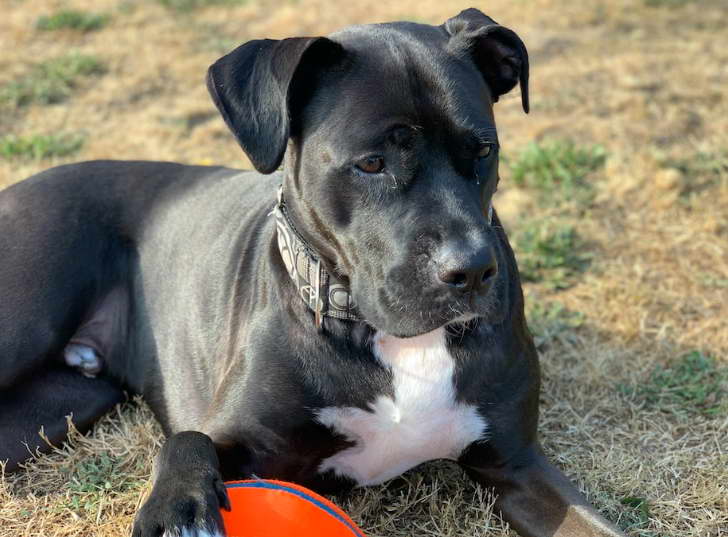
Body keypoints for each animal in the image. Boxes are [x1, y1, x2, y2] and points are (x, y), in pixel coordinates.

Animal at [0, 8, 624, 536]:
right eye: (371, 163)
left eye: (484, 151)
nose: (471, 271)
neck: (387, 336)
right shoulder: (238, 439)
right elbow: (188, 440)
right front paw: (179, 509)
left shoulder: (517, 465)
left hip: (52, 409)